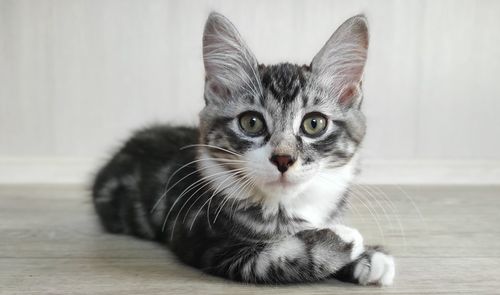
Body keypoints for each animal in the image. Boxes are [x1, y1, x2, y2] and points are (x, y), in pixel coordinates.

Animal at [93, 12, 394, 286]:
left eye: (314, 124)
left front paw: (369, 257)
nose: (283, 159)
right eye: (251, 122)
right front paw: (342, 239)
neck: (285, 206)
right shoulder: (206, 242)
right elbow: (279, 257)